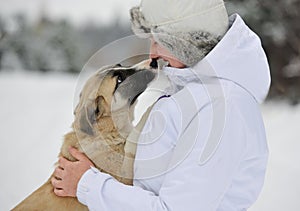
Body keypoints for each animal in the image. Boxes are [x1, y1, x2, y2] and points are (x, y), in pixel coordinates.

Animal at [12, 59, 159, 211]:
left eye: (120, 65)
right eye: (119, 80)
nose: (153, 61)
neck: (105, 132)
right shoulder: (125, 176)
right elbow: (132, 140)